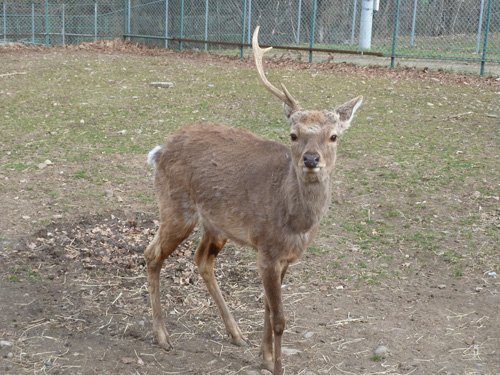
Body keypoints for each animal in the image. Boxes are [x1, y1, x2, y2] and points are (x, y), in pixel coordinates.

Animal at [145, 25, 364, 374]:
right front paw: (277, 367)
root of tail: (159, 150)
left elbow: (266, 307)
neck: (296, 222)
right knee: (152, 254)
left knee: (202, 260)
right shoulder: (267, 250)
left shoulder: (286, 258)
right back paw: (163, 336)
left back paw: (235, 333)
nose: (311, 159)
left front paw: (264, 356)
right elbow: (280, 318)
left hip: (216, 225)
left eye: (334, 136)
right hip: (175, 207)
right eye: (293, 135)